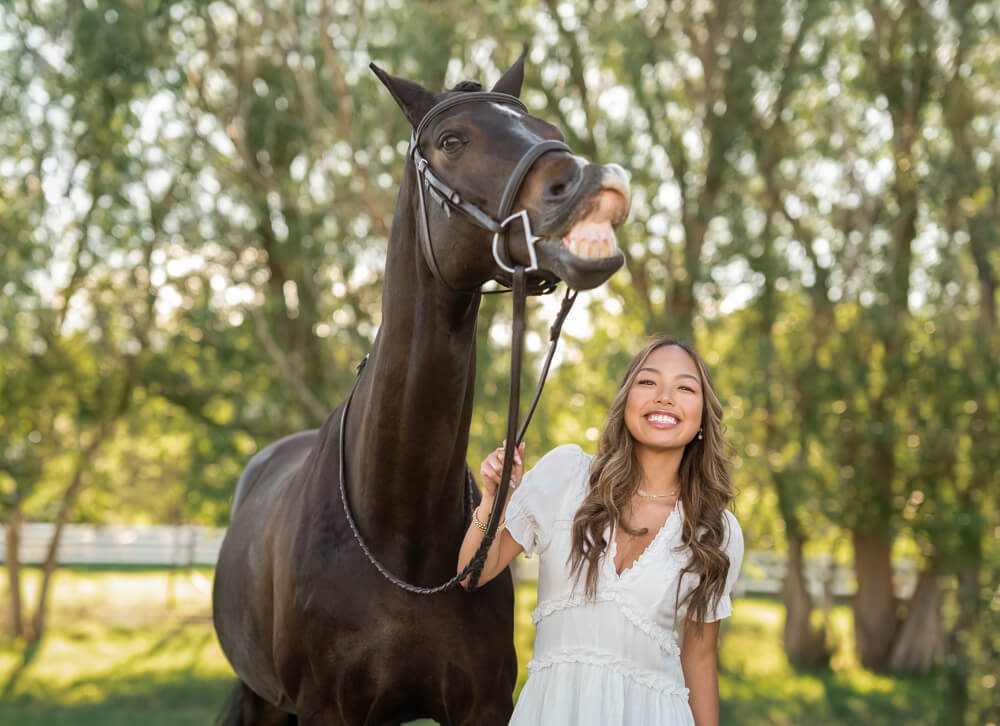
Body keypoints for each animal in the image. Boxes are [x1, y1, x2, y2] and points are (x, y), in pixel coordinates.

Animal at [214, 54, 628, 724]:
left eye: (548, 126)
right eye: (452, 141)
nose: (591, 185)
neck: (400, 536)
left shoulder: (482, 705)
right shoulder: (326, 709)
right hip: (264, 699)